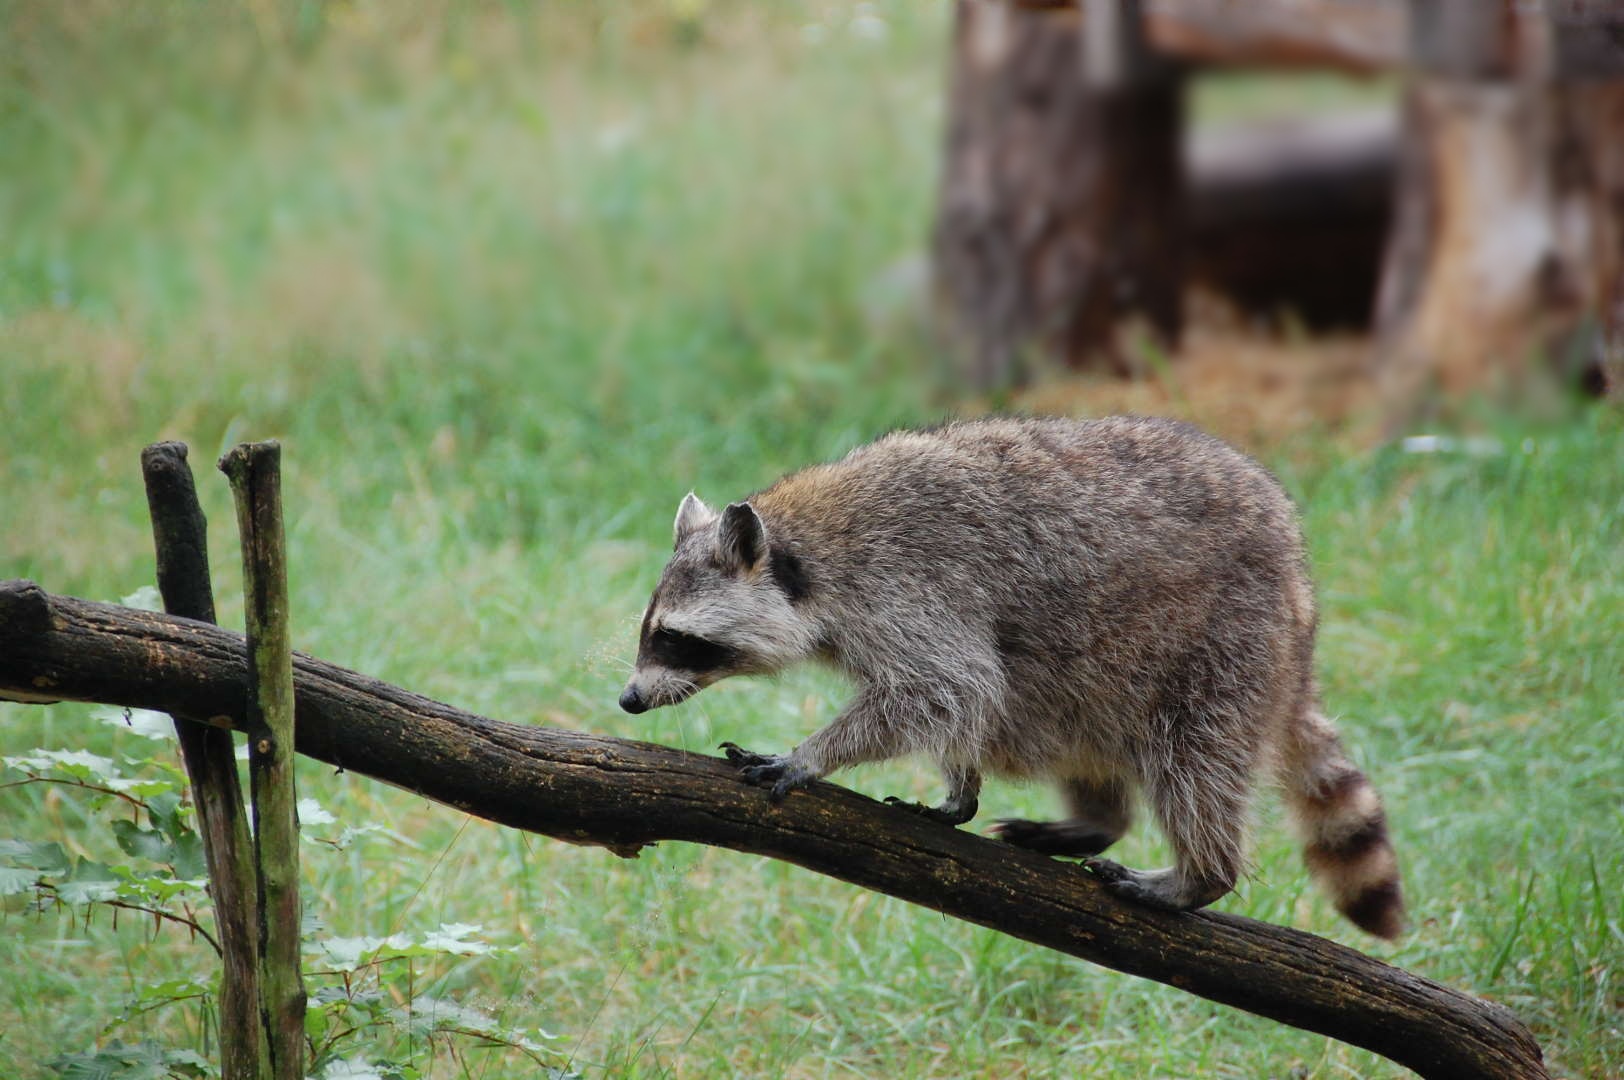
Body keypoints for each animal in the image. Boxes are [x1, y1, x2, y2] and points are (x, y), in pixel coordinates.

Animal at [613, 414, 1403, 935]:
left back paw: (1201, 873)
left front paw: (812, 756)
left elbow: (951, 686)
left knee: (1193, 754)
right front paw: (958, 788)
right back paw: (1099, 818)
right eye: (648, 631)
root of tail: (1300, 597)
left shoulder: (911, 584)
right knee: (1055, 705)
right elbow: (965, 701)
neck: (806, 545)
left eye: (676, 640)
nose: (628, 699)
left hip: (1221, 639)